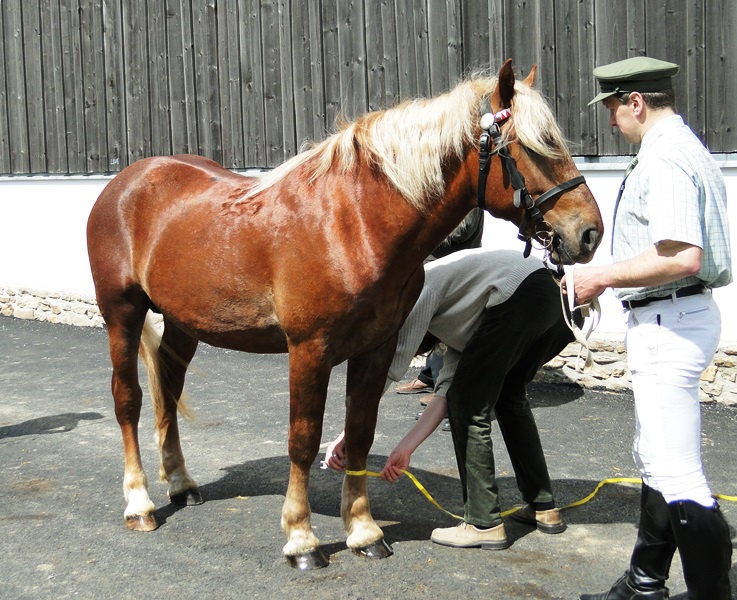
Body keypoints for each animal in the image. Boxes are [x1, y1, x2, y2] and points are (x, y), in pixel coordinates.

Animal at [86, 59, 603, 570]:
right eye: (532, 147)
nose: (589, 233)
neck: (353, 223)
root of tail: (127, 182)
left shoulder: (375, 349)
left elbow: (359, 434)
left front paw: (363, 531)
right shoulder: (309, 351)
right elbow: (303, 440)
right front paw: (301, 539)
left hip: (183, 324)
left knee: (168, 389)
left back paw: (180, 482)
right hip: (122, 314)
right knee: (128, 400)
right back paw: (139, 504)